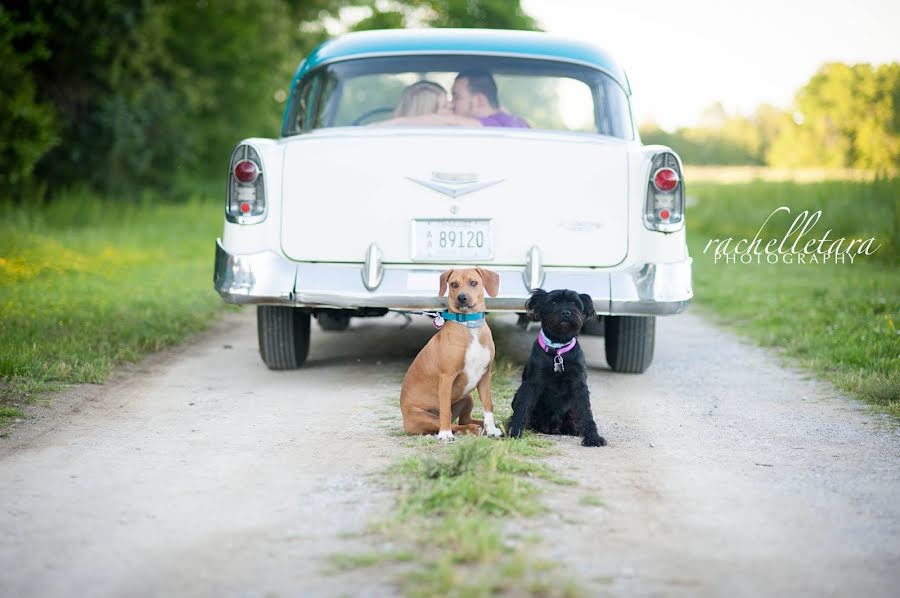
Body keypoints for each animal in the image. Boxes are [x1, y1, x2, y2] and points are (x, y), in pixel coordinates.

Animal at [402, 270, 506, 442]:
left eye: (473, 282)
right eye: (453, 284)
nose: (462, 297)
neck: (470, 325)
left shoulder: (485, 376)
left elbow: (488, 405)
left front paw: (492, 430)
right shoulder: (447, 377)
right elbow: (445, 409)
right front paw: (445, 434)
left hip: (467, 397)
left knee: (463, 419)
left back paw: (485, 425)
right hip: (424, 418)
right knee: (454, 424)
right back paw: (469, 429)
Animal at [510, 288, 608, 448]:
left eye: (574, 302)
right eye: (554, 302)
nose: (566, 312)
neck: (558, 350)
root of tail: (552, 427)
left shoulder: (579, 384)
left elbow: (586, 411)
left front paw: (593, 437)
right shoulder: (532, 383)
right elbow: (523, 406)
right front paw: (514, 431)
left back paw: (573, 429)